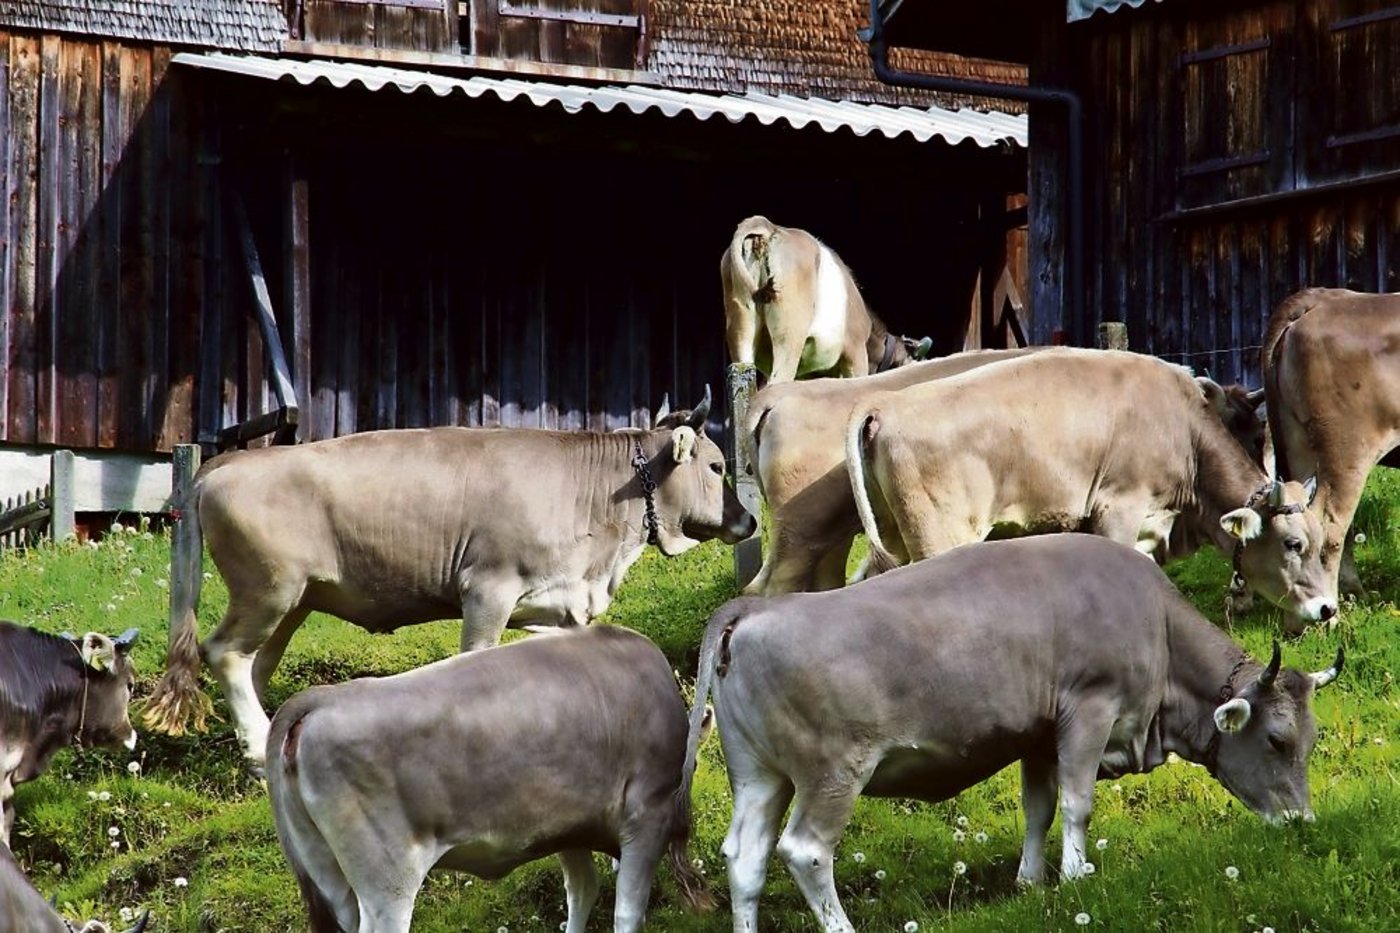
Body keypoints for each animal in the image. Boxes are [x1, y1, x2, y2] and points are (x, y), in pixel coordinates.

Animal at [143, 389, 757, 768]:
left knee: (256, 662)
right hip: (268, 589)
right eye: (718, 466)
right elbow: (477, 657)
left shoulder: (555, 600)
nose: (748, 521)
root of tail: (223, 465)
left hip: (292, 600)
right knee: (224, 651)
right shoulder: (487, 587)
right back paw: (254, 744)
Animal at [267, 624, 712, 933]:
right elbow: (628, 912)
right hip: (387, 881)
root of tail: (324, 697)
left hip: (330, 877)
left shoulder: (567, 827)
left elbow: (582, 892)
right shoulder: (647, 816)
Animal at [680, 534, 1343, 933]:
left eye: (1309, 741)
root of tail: (755, 608)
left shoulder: (1038, 736)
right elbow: (1076, 804)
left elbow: (1039, 807)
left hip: (759, 776)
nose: (1303, 822)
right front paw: (1074, 876)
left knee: (746, 858)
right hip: (831, 775)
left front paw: (1029, 881)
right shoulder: (1089, 711)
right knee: (805, 851)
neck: (1156, 625)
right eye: (1277, 740)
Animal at [845, 348, 1338, 623]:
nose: (1327, 609)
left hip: (892, 534)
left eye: (1319, 543)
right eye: (1293, 544)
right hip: (937, 537)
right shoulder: (1117, 509)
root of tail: (884, 404)